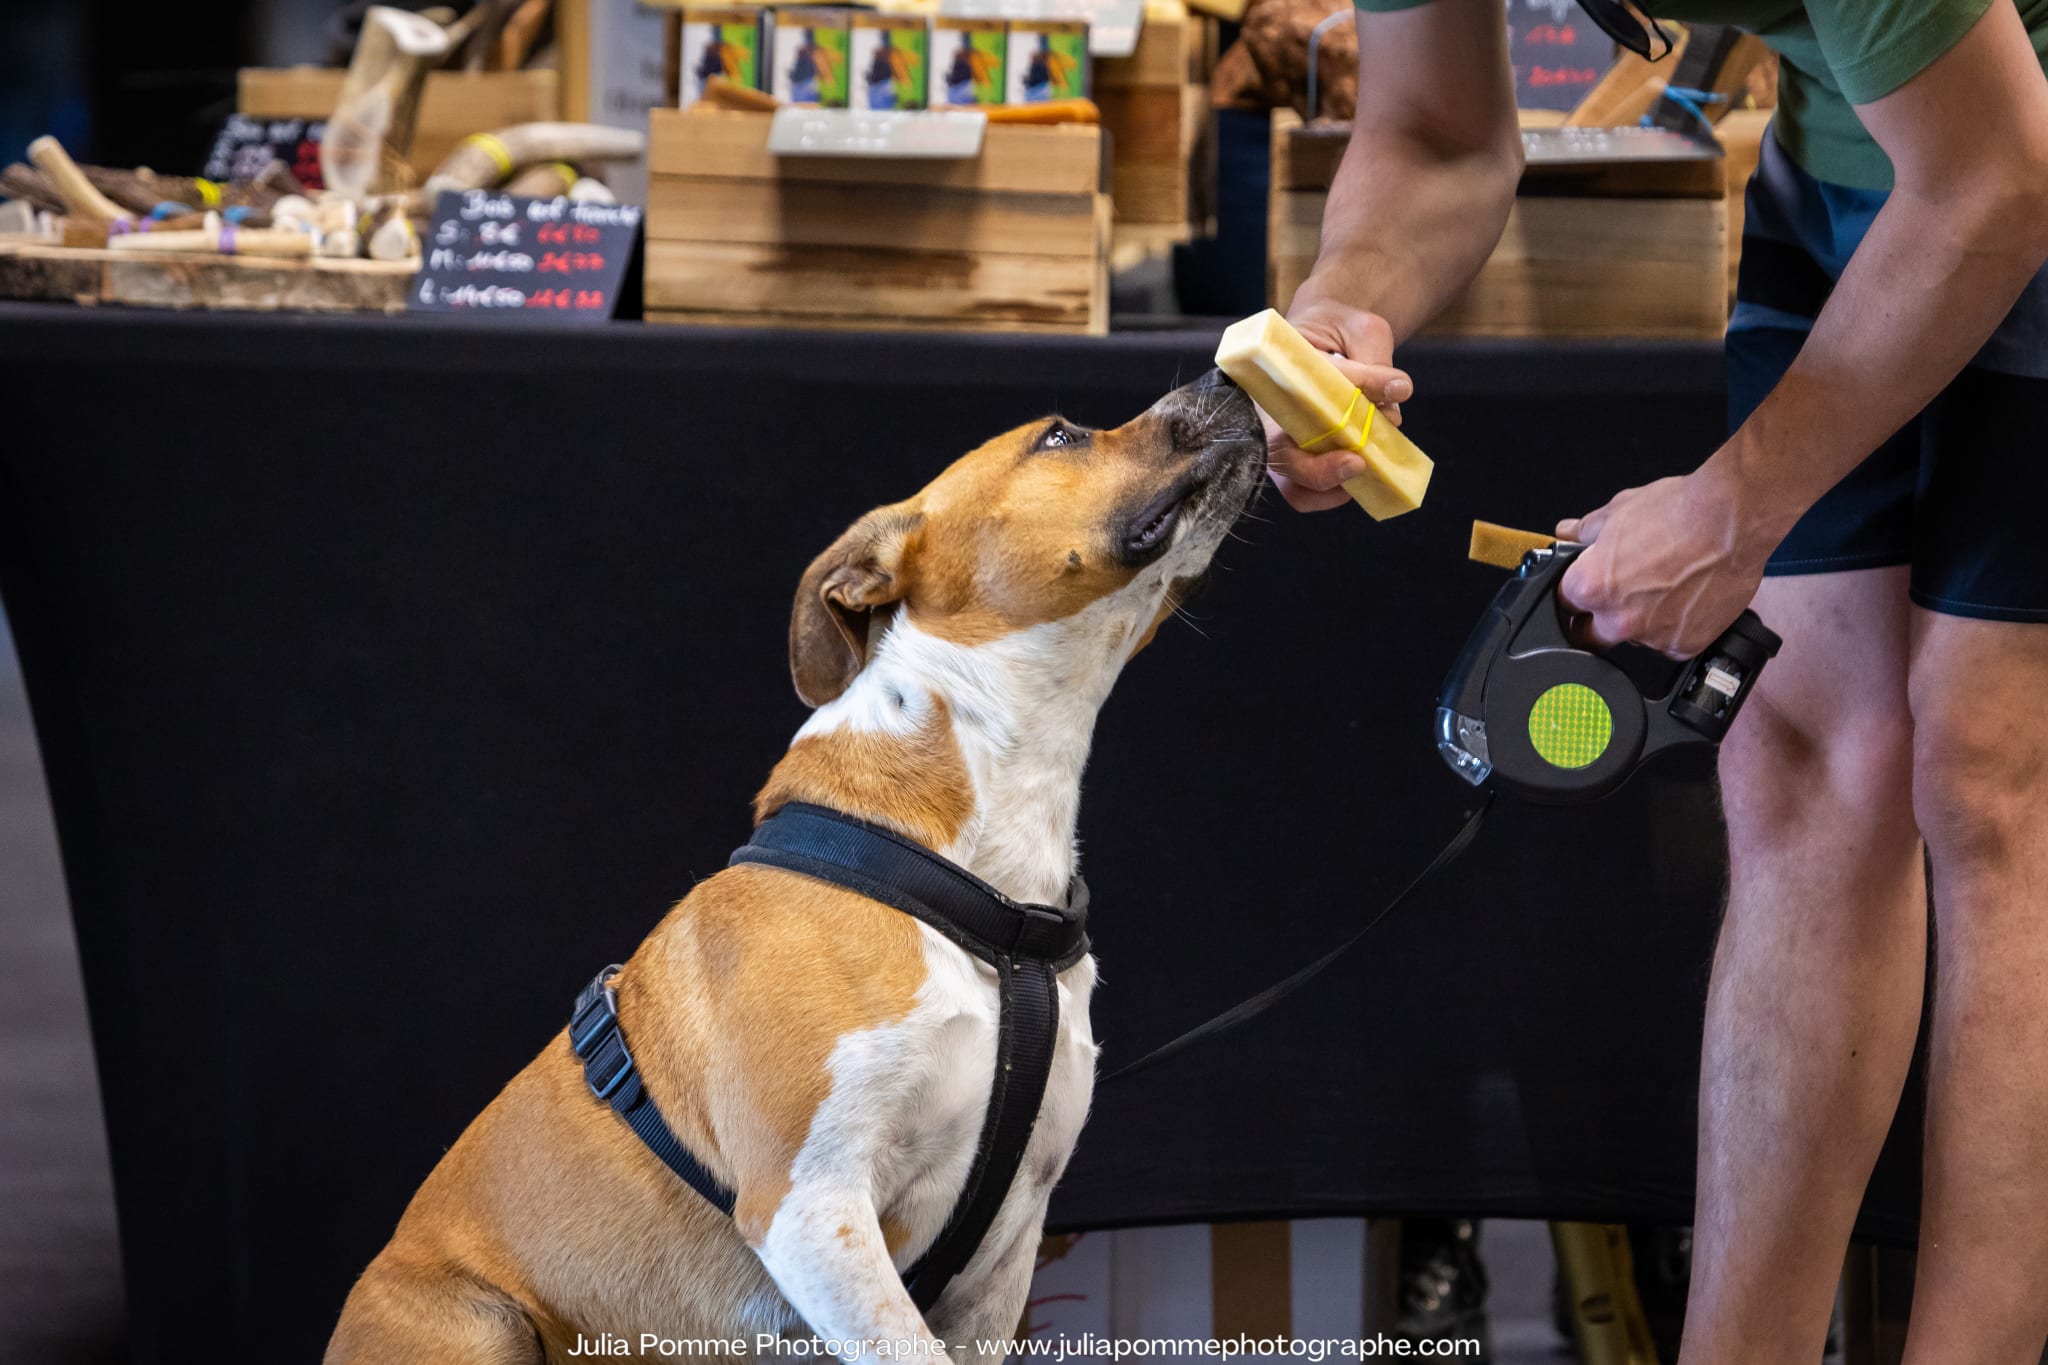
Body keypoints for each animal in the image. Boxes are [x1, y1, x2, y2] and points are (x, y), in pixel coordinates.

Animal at [327, 370, 1261, 1365]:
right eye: (1058, 437)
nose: (1224, 374)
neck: (989, 881)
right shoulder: (810, 1207)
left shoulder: (1005, 1251)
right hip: (479, 1320)